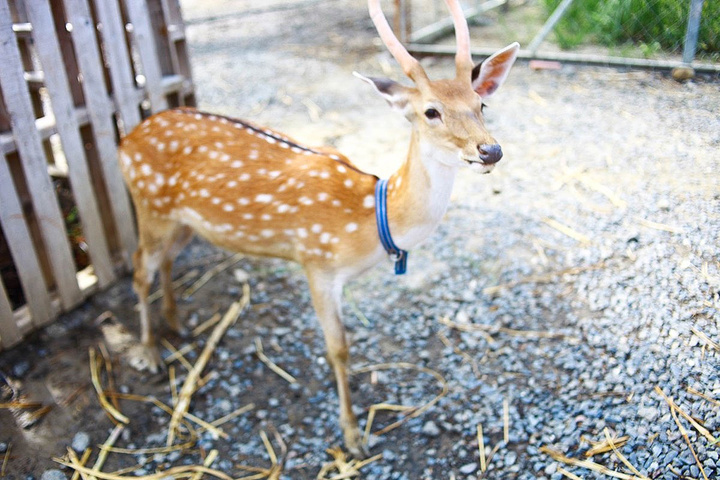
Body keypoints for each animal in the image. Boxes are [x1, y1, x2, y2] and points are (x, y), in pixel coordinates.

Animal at [121, 0, 520, 456]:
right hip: (149, 204)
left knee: (166, 261)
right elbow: (338, 348)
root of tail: (124, 140)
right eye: (431, 111)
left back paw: (177, 323)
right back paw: (150, 353)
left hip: (182, 221)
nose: (490, 150)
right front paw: (352, 435)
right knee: (139, 268)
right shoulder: (316, 263)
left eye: (481, 104)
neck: (372, 220)